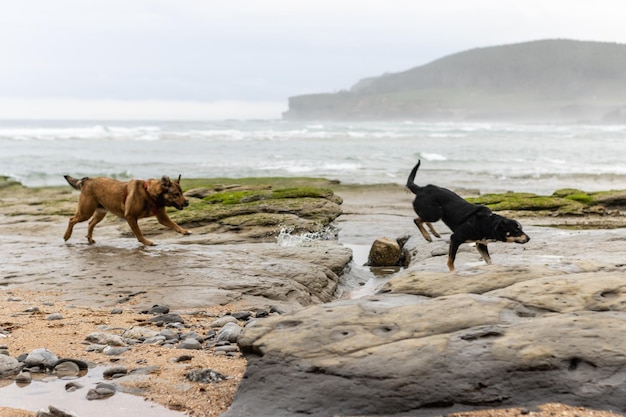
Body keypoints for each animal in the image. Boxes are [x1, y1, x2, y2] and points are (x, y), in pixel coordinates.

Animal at [63, 175, 191, 245]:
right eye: (176, 194)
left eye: (181, 193)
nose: (187, 202)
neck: (149, 193)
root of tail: (87, 180)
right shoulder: (130, 217)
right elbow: (139, 233)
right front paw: (146, 242)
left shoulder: (162, 217)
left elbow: (174, 224)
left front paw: (184, 230)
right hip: (85, 212)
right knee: (72, 219)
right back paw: (67, 236)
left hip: (100, 213)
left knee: (90, 224)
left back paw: (89, 239)